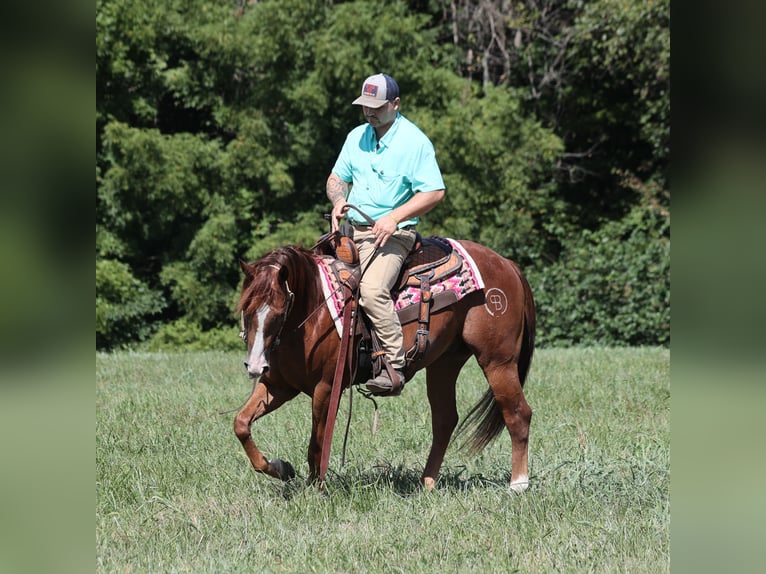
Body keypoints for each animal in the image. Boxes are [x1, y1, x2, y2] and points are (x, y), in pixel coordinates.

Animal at [234, 238, 535, 491]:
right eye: (246, 309)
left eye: (279, 311)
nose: (255, 366)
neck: (314, 310)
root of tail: (507, 264)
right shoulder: (279, 385)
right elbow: (241, 424)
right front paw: (281, 468)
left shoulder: (326, 388)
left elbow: (317, 444)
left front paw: (314, 488)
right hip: (444, 364)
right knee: (445, 420)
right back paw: (427, 483)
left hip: (497, 361)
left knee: (517, 413)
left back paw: (518, 485)